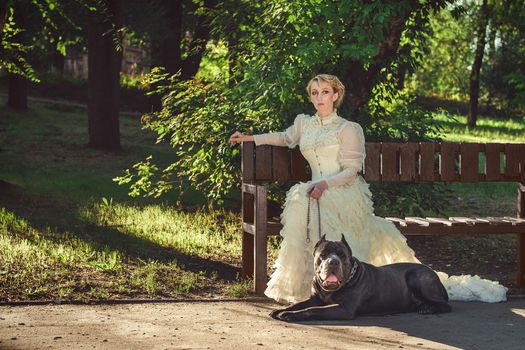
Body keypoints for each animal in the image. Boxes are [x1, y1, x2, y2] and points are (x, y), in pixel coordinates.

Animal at [270, 234, 450, 322]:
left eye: (342, 255)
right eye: (323, 255)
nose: (333, 261)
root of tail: (433, 273)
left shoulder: (344, 309)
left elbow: (312, 310)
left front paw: (289, 315)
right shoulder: (315, 298)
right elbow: (298, 304)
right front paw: (280, 310)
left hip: (417, 277)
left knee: (445, 305)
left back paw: (428, 308)